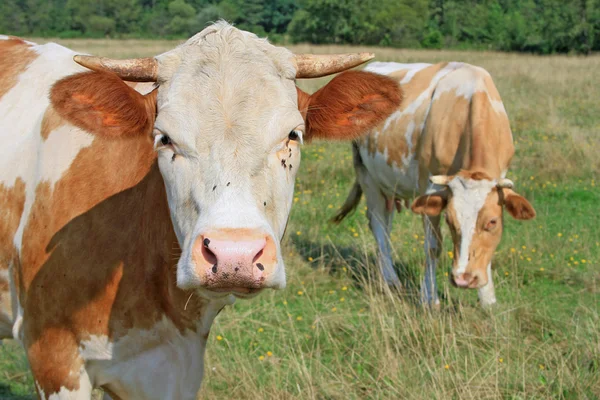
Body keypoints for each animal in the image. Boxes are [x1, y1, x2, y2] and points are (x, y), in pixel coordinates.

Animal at [332, 61, 536, 306]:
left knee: (386, 223)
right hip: (366, 174)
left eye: (492, 222)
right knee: (378, 224)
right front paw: (429, 298)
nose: (463, 278)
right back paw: (390, 281)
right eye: (450, 220)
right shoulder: (430, 187)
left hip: (387, 183)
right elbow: (432, 247)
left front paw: (488, 299)